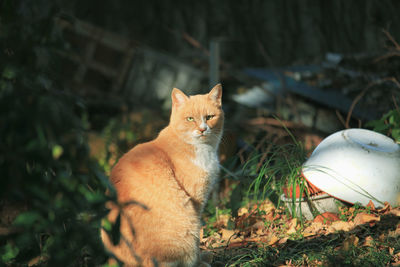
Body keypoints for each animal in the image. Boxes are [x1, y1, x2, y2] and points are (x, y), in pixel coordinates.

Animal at [101, 85, 223, 266]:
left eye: (209, 117)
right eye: (190, 119)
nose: (202, 129)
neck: (202, 148)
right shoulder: (196, 201)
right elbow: (197, 240)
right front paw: (200, 259)